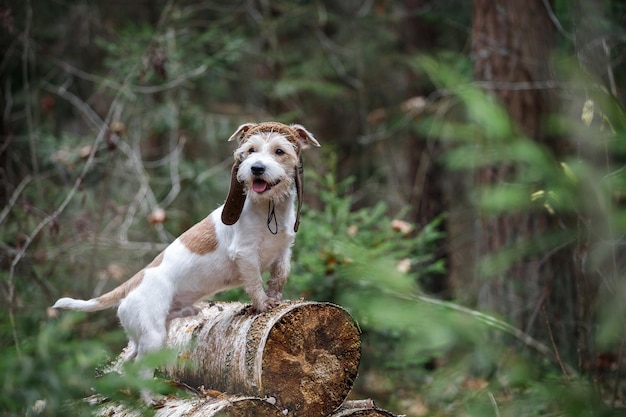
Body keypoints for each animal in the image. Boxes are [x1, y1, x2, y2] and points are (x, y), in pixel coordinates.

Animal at [51, 119, 320, 370]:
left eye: (279, 151)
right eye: (251, 150)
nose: (256, 168)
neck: (267, 207)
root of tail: (132, 284)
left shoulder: (283, 250)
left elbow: (281, 274)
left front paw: (276, 297)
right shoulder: (244, 253)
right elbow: (254, 282)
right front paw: (263, 304)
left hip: (145, 335)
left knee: (127, 364)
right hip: (152, 336)